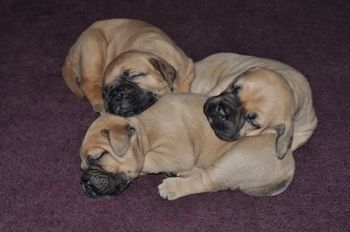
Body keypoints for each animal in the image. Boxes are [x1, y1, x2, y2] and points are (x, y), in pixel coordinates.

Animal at [62, 18, 194, 114]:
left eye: (134, 76)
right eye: (105, 92)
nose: (114, 96)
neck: (149, 50)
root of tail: (71, 51)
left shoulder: (188, 70)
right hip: (93, 45)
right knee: (88, 83)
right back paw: (99, 104)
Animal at [80, 92, 296, 199]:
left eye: (98, 157)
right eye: (81, 167)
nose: (84, 182)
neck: (145, 131)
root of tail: (288, 169)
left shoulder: (175, 153)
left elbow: (146, 160)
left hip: (236, 158)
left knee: (207, 182)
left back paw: (173, 187)